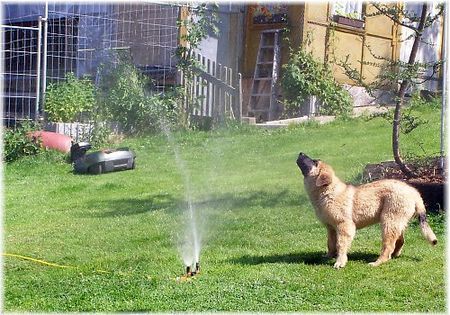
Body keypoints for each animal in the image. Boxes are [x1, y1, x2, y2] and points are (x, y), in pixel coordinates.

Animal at [296, 153, 436, 270]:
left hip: (389, 221)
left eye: (314, 162)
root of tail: (414, 193)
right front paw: (329, 256)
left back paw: (378, 262)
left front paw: (340, 262)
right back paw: (395, 255)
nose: (300, 153)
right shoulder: (331, 228)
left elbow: (341, 244)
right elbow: (330, 243)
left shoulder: (344, 226)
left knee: (388, 245)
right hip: (398, 221)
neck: (328, 192)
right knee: (400, 241)